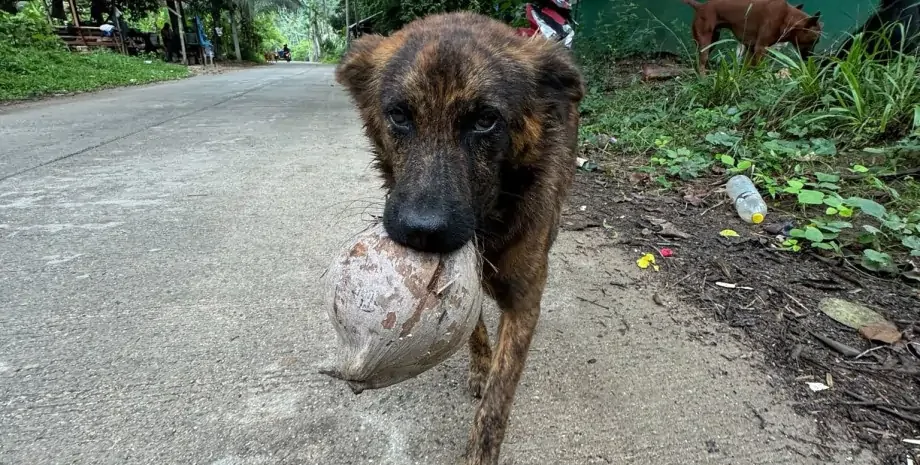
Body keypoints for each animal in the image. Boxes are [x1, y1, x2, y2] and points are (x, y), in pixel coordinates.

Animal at [334, 9, 584, 464]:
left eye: (485, 120)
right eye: (399, 115)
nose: (422, 232)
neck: (490, 221)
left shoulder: (524, 299)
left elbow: (498, 401)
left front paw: (481, 448)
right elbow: (473, 325)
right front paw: (480, 365)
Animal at [684, 0, 828, 73]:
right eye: (815, 40)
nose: (810, 58)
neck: (787, 18)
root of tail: (701, 6)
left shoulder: (751, 48)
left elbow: (748, 67)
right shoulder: (760, 48)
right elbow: (759, 68)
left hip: (713, 40)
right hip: (705, 42)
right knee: (701, 64)